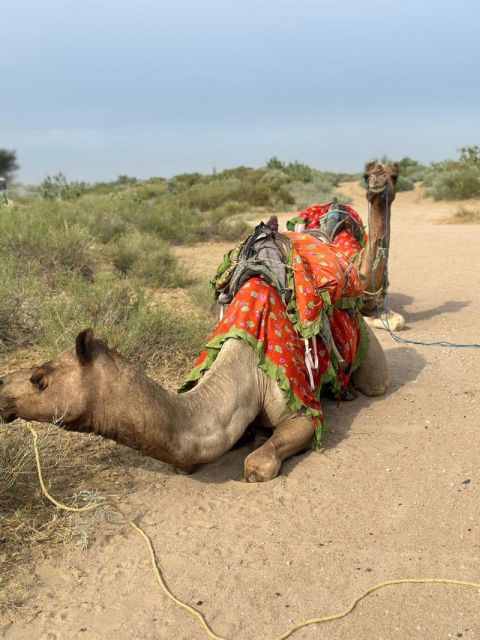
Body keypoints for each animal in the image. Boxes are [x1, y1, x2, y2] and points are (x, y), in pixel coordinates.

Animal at [0, 328, 388, 482]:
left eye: (39, 379)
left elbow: (259, 461)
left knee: (376, 381)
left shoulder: (299, 409)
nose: (2, 386)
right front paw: (256, 435)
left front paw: (259, 456)